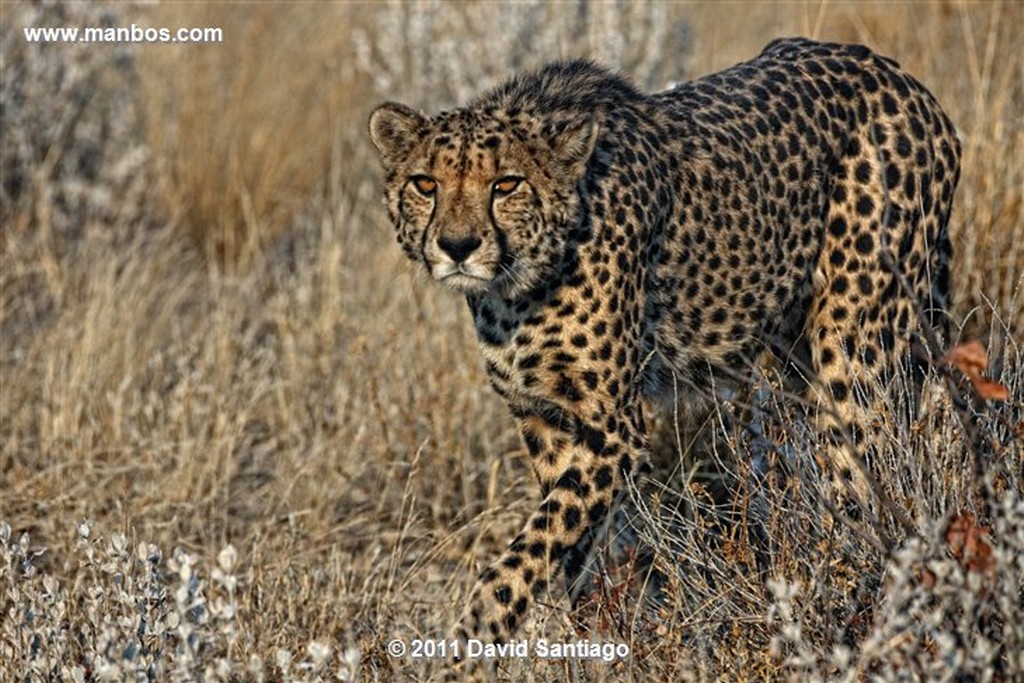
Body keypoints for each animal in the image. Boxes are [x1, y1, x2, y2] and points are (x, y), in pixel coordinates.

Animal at [368, 37, 958, 651]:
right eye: (426, 184)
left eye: (506, 184)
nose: (457, 246)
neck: (520, 284)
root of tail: (896, 75)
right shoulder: (546, 417)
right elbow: (573, 548)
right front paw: (600, 637)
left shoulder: (611, 429)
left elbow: (525, 555)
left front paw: (468, 642)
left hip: (853, 355)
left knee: (873, 480)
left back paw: (857, 594)